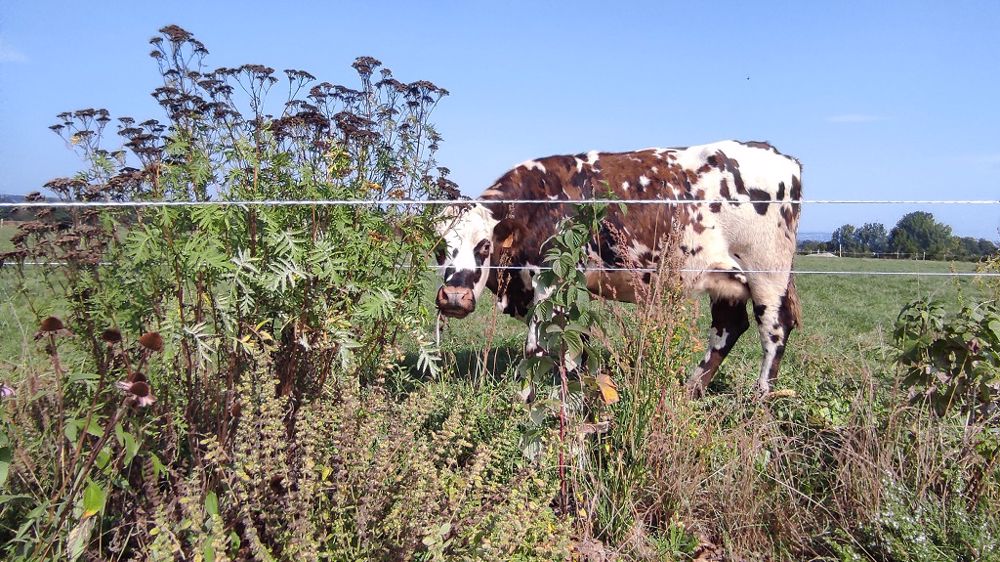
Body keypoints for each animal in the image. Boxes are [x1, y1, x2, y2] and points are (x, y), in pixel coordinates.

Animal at [434, 140, 802, 397]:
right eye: (439, 249)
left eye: (484, 246)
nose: (453, 296)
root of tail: (780, 155)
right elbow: (573, 343)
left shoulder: (551, 280)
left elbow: (536, 348)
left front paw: (527, 400)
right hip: (724, 278)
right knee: (728, 327)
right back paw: (690, 390)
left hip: (766, 273)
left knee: (774, 328)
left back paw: (760, 397)